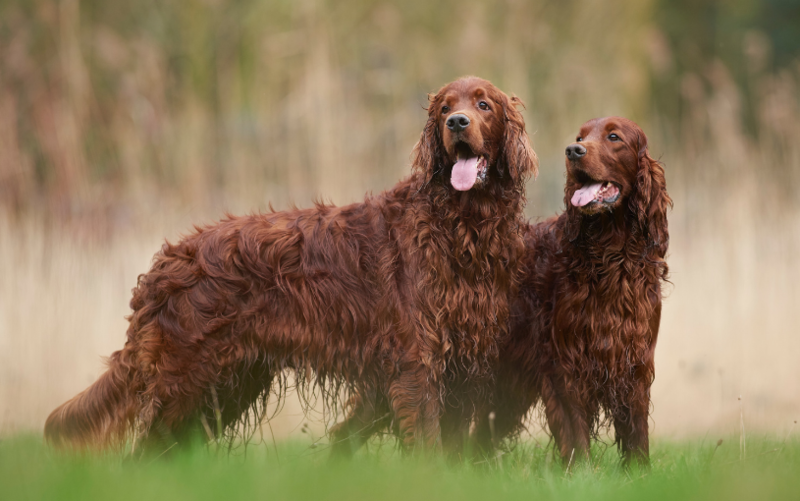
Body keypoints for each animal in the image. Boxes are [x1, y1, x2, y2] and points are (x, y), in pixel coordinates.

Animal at [47, 77, 536, 454]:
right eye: (444, 108)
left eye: (483, 104)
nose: (457, 123)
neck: (460, 226)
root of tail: (164, 264)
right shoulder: (418, 365)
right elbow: (429, 447)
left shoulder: (462, 367)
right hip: (183, 383)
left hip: (228, 384)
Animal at [472, 116, 672, 464]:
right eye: (580, 138)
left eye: (614, 137)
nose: (573, 151)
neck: (610, 256)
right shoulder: (566, 364)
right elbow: (576, 435)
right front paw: (581, 473)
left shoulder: (634, 361)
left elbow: (637, 436)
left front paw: (639, 472)